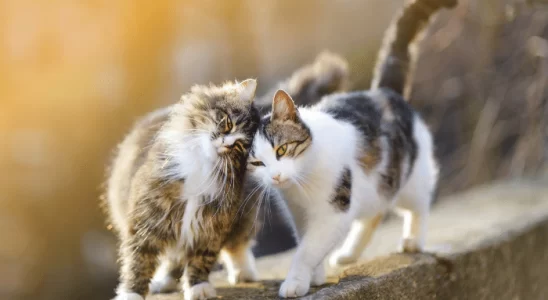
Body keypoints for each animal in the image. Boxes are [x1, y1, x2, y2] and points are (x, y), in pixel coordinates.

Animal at [248, 0, 458, 296]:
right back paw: (349, 254)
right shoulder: (299, 214)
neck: (302, 183)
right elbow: (306, 242)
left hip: (410, 178)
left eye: (282, 150)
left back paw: (413, 240)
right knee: (374, 213)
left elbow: (307, 249)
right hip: (374, 187)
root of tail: (383, 91)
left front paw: (296, 281)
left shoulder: (335, 211)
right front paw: (316, 275)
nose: (276, 176)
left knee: (419, 206)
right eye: (256, 163)